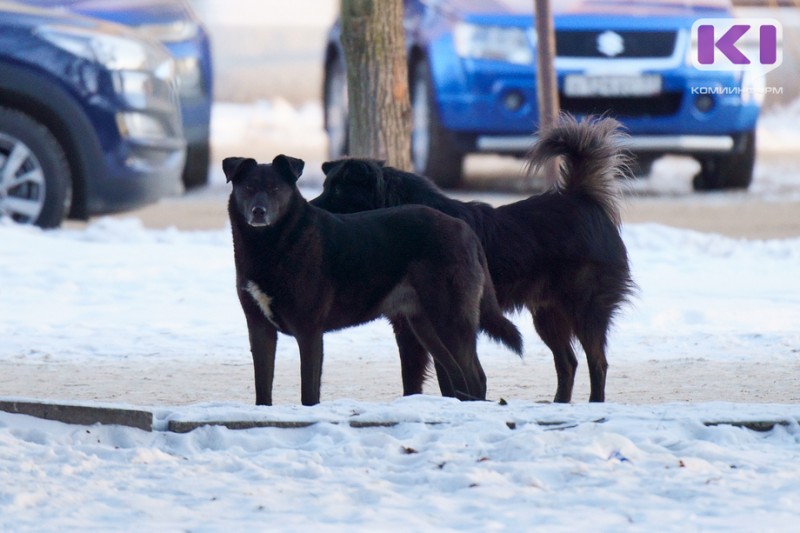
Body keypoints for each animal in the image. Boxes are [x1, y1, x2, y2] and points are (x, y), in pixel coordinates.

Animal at [225, 152, 524, 406]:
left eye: (275, 189)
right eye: (248, 188)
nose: (259, 211)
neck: (273, 244)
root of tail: (465, 230)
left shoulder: (308, 329)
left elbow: (308, 393)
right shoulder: (259, 328)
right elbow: (262, 389)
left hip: (451, 318)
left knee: (475, 376)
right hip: (424, 324)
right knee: (457, 375)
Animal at [310, 114, 636, 402]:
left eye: (337, 192)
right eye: (326, 187)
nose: (310, 210)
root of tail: (582, 198)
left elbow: (436, 378)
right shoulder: (410, 324)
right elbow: (420, 378)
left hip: (584, 308)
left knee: (597, 362)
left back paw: (594, 402)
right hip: (547, 314)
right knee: (567, 362)